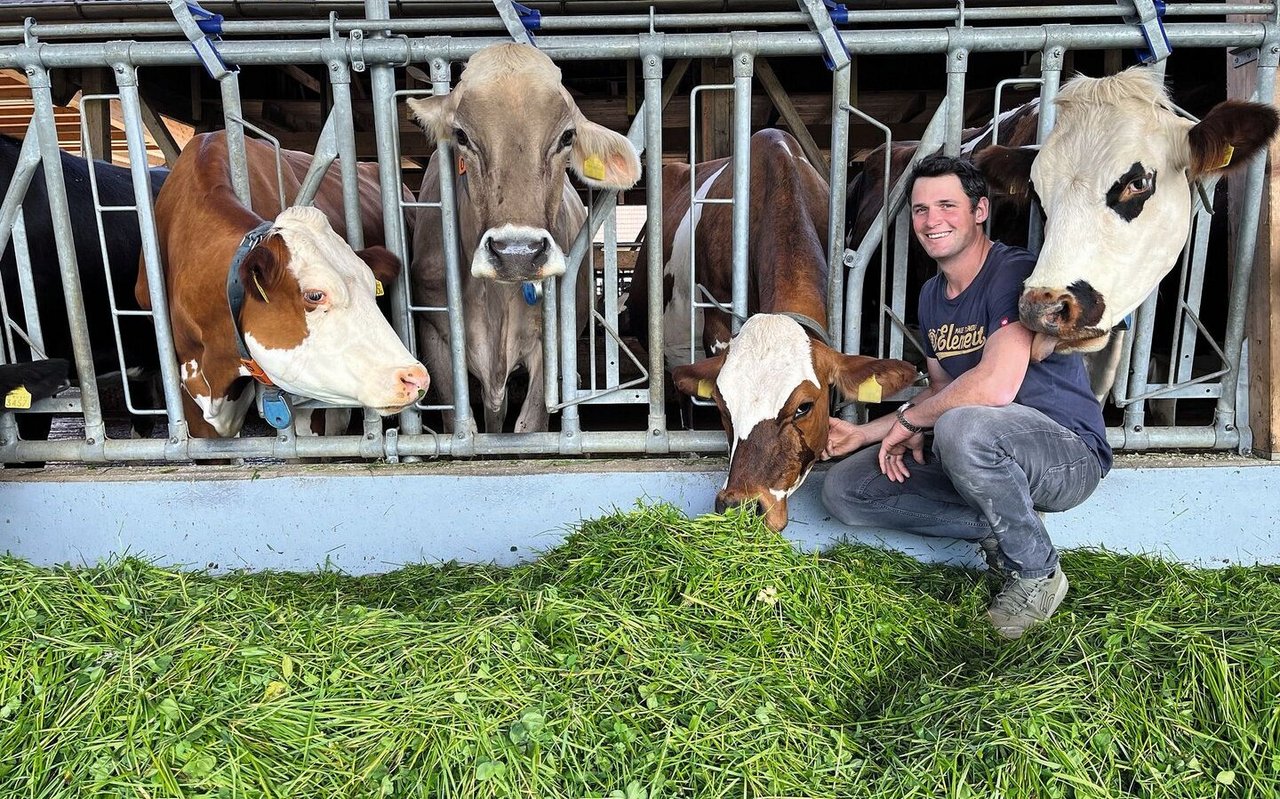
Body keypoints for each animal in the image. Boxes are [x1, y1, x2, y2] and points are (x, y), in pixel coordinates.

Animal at [407, 42, 640, 430]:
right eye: (461, 136)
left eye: (567, 136)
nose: (517, 252)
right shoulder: (435, 335)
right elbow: (463, 423)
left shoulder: (548, 340)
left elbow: (529, 425)